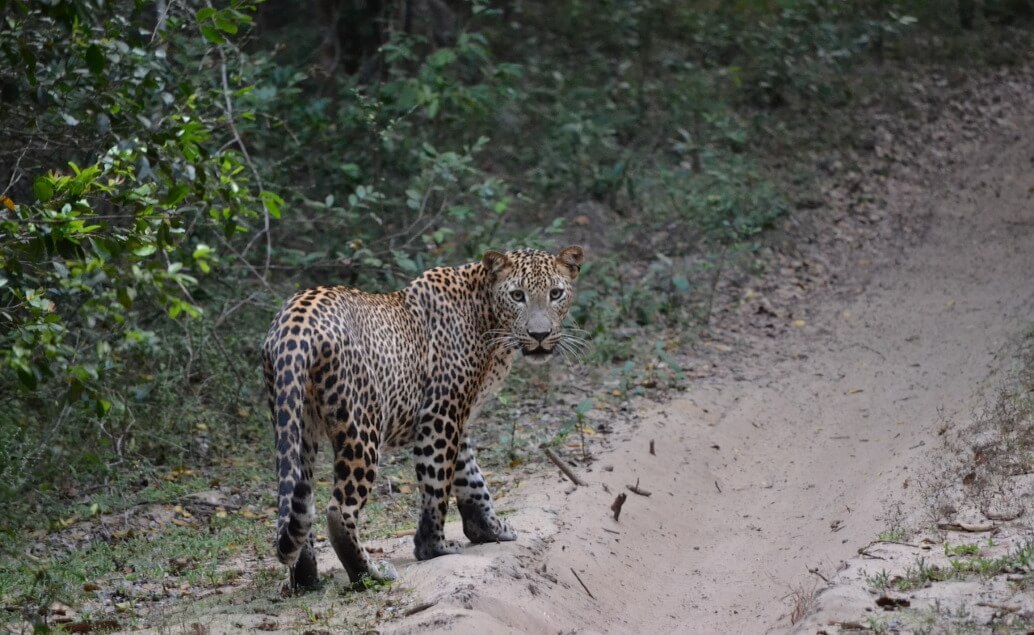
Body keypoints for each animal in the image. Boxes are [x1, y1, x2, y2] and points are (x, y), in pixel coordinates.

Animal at [262, 245, 587, 591]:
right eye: (517, 295)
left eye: (555, 293)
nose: (539, 335)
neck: (486, 315)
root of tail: (295, 324)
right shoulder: (440, 414)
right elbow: (437, 482)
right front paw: (433, 547)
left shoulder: (458, 418)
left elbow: (471, 478)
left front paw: (490, 529)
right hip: (361, 425)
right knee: (339, 509)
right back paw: (370, 574)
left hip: (296, 423)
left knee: (298, 501)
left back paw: (306, 579)